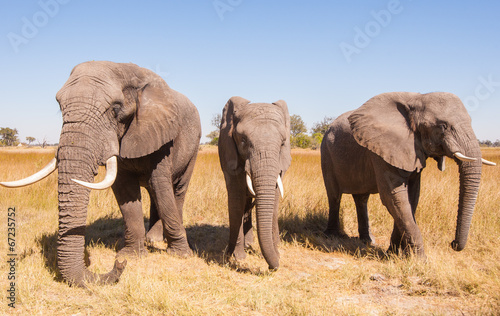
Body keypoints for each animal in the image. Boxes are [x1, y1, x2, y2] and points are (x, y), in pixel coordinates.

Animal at [2, 61, 201, 286]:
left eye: (115, 109)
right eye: (60, 106)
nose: (119, 266)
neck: (125, 70)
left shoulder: (161, 134)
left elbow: (161, 186)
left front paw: (180, 255)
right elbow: (125, 190)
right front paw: (131, 256)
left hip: (193, 146)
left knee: (175, 191)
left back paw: (162, 239)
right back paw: (153, 239)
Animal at [217, 95, 292, 270]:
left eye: (283, 143)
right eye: (243, 140)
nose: (273, 267)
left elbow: (274, 201)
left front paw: (277, 253)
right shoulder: (228, 152)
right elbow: (236, 199)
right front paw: (239, 257)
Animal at [320, 92, 496, 260]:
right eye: (443, 126)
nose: (452, 243)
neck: (417, 100)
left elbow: (411, 196)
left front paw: (394, 253)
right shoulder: (381, 149)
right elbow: (394, 196)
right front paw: (420, 260)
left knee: (361, 198)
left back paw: (368, 241)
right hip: (326, 153)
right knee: (334, 195)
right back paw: (332, 236)